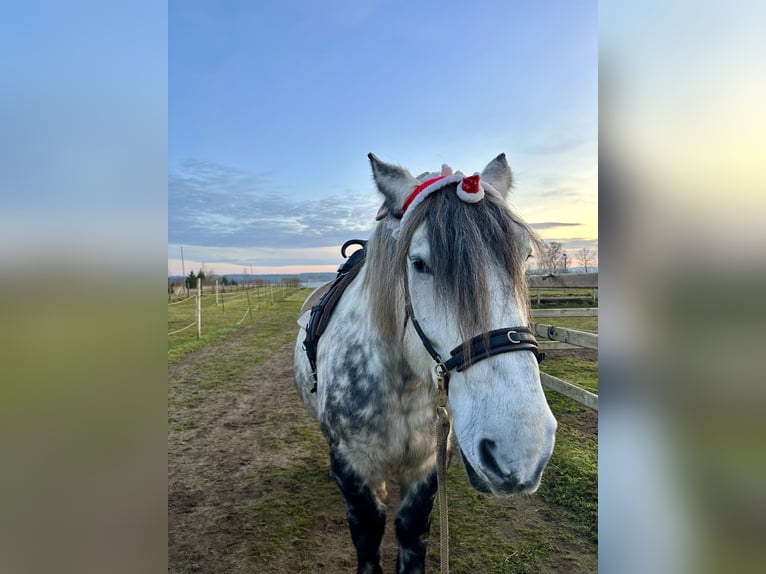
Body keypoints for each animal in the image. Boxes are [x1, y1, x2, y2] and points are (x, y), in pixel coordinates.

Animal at [294, 153, 557, 574]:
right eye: (418, 263)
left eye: (524, 256)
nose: (520, 449)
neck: (400, 387)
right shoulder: (353, 472)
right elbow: (369, 536)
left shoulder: (426, 469)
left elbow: (410, 531)